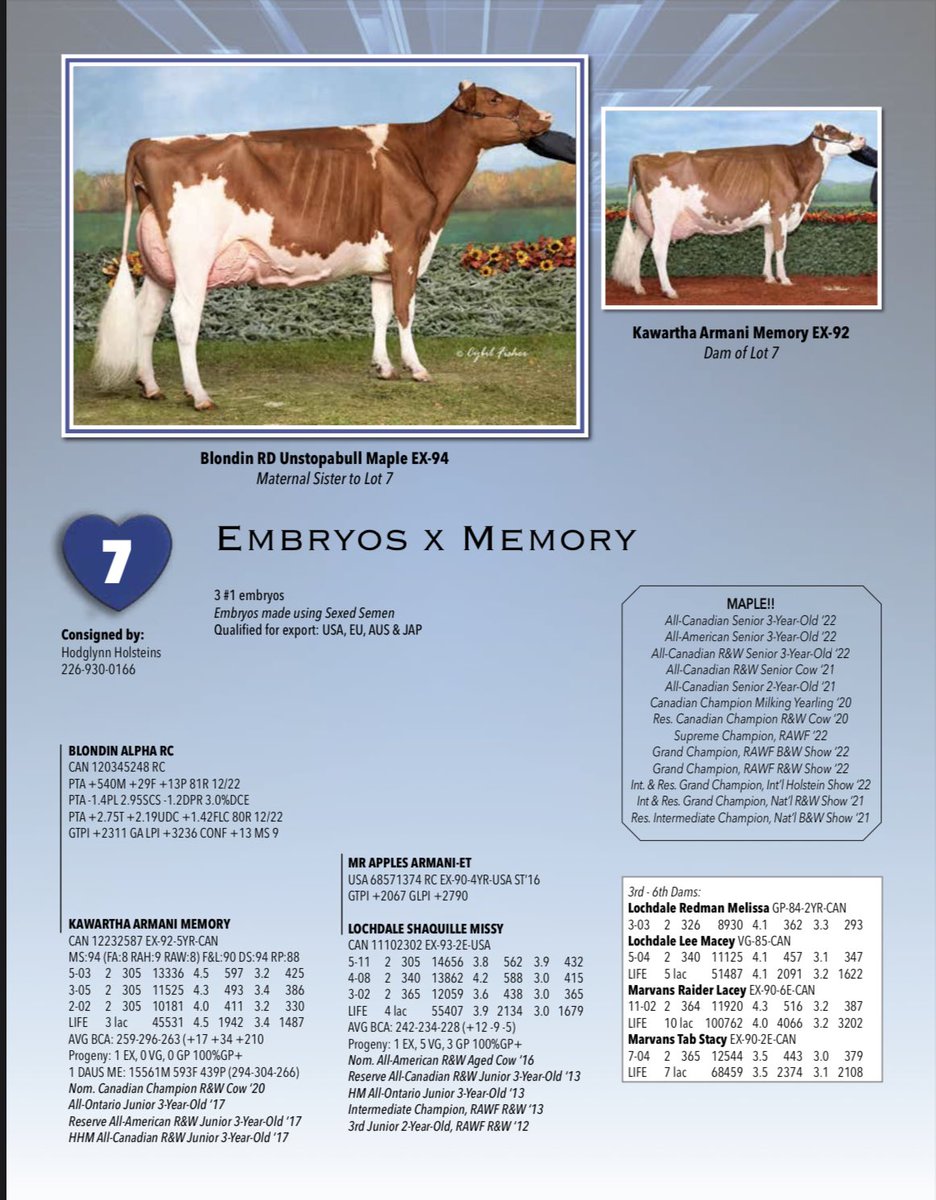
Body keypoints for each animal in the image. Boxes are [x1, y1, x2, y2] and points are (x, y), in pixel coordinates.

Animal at [92, 82, 552, 410]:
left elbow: (380, 313)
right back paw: (199, 395)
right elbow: (405, 311)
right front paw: (416, 368)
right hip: (193, 257)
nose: (547, 114)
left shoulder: (383, 262)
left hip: (161, 265)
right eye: (494, 98)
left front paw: (383, 367)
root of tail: (150, 142)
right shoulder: (408, 248)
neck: (421, 163)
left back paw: (151, 387)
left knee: (147, 318)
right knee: (184, 319)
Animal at [610, 123, 867, 299]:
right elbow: (781, 247)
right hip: (664, 216)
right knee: (658, 249)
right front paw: (784, 279)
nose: (862, 138)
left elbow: (768, 246)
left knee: (638, 250)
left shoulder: (769, 220)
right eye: (833, 129)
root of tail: (642, 157)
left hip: (646, 221)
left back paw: (639, 288)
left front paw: (769, 277)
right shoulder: (781, 212)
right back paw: (669, 290)